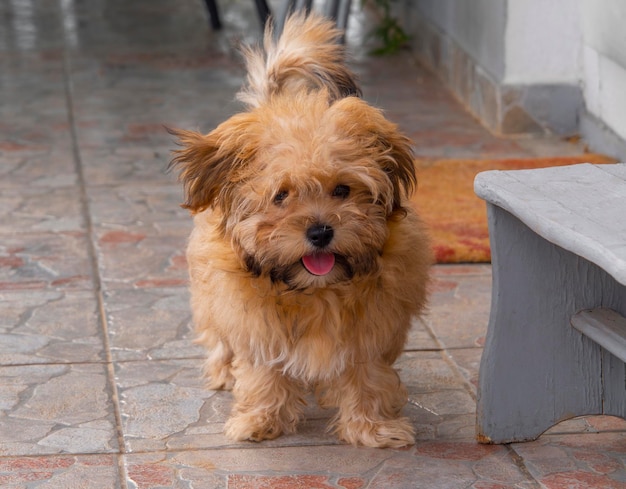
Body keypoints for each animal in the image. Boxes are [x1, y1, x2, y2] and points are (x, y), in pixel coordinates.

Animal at [168, 12, 432, 446]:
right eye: (281, 196)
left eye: (342, 189)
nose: (320, 232)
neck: (315, 292)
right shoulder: (254, 323)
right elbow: (262, 370)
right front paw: (259, 419)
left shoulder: (370, 331)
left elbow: (368, 376)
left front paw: (373, 427)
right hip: (208, 290)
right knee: (218, 334)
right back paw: (223, 371)